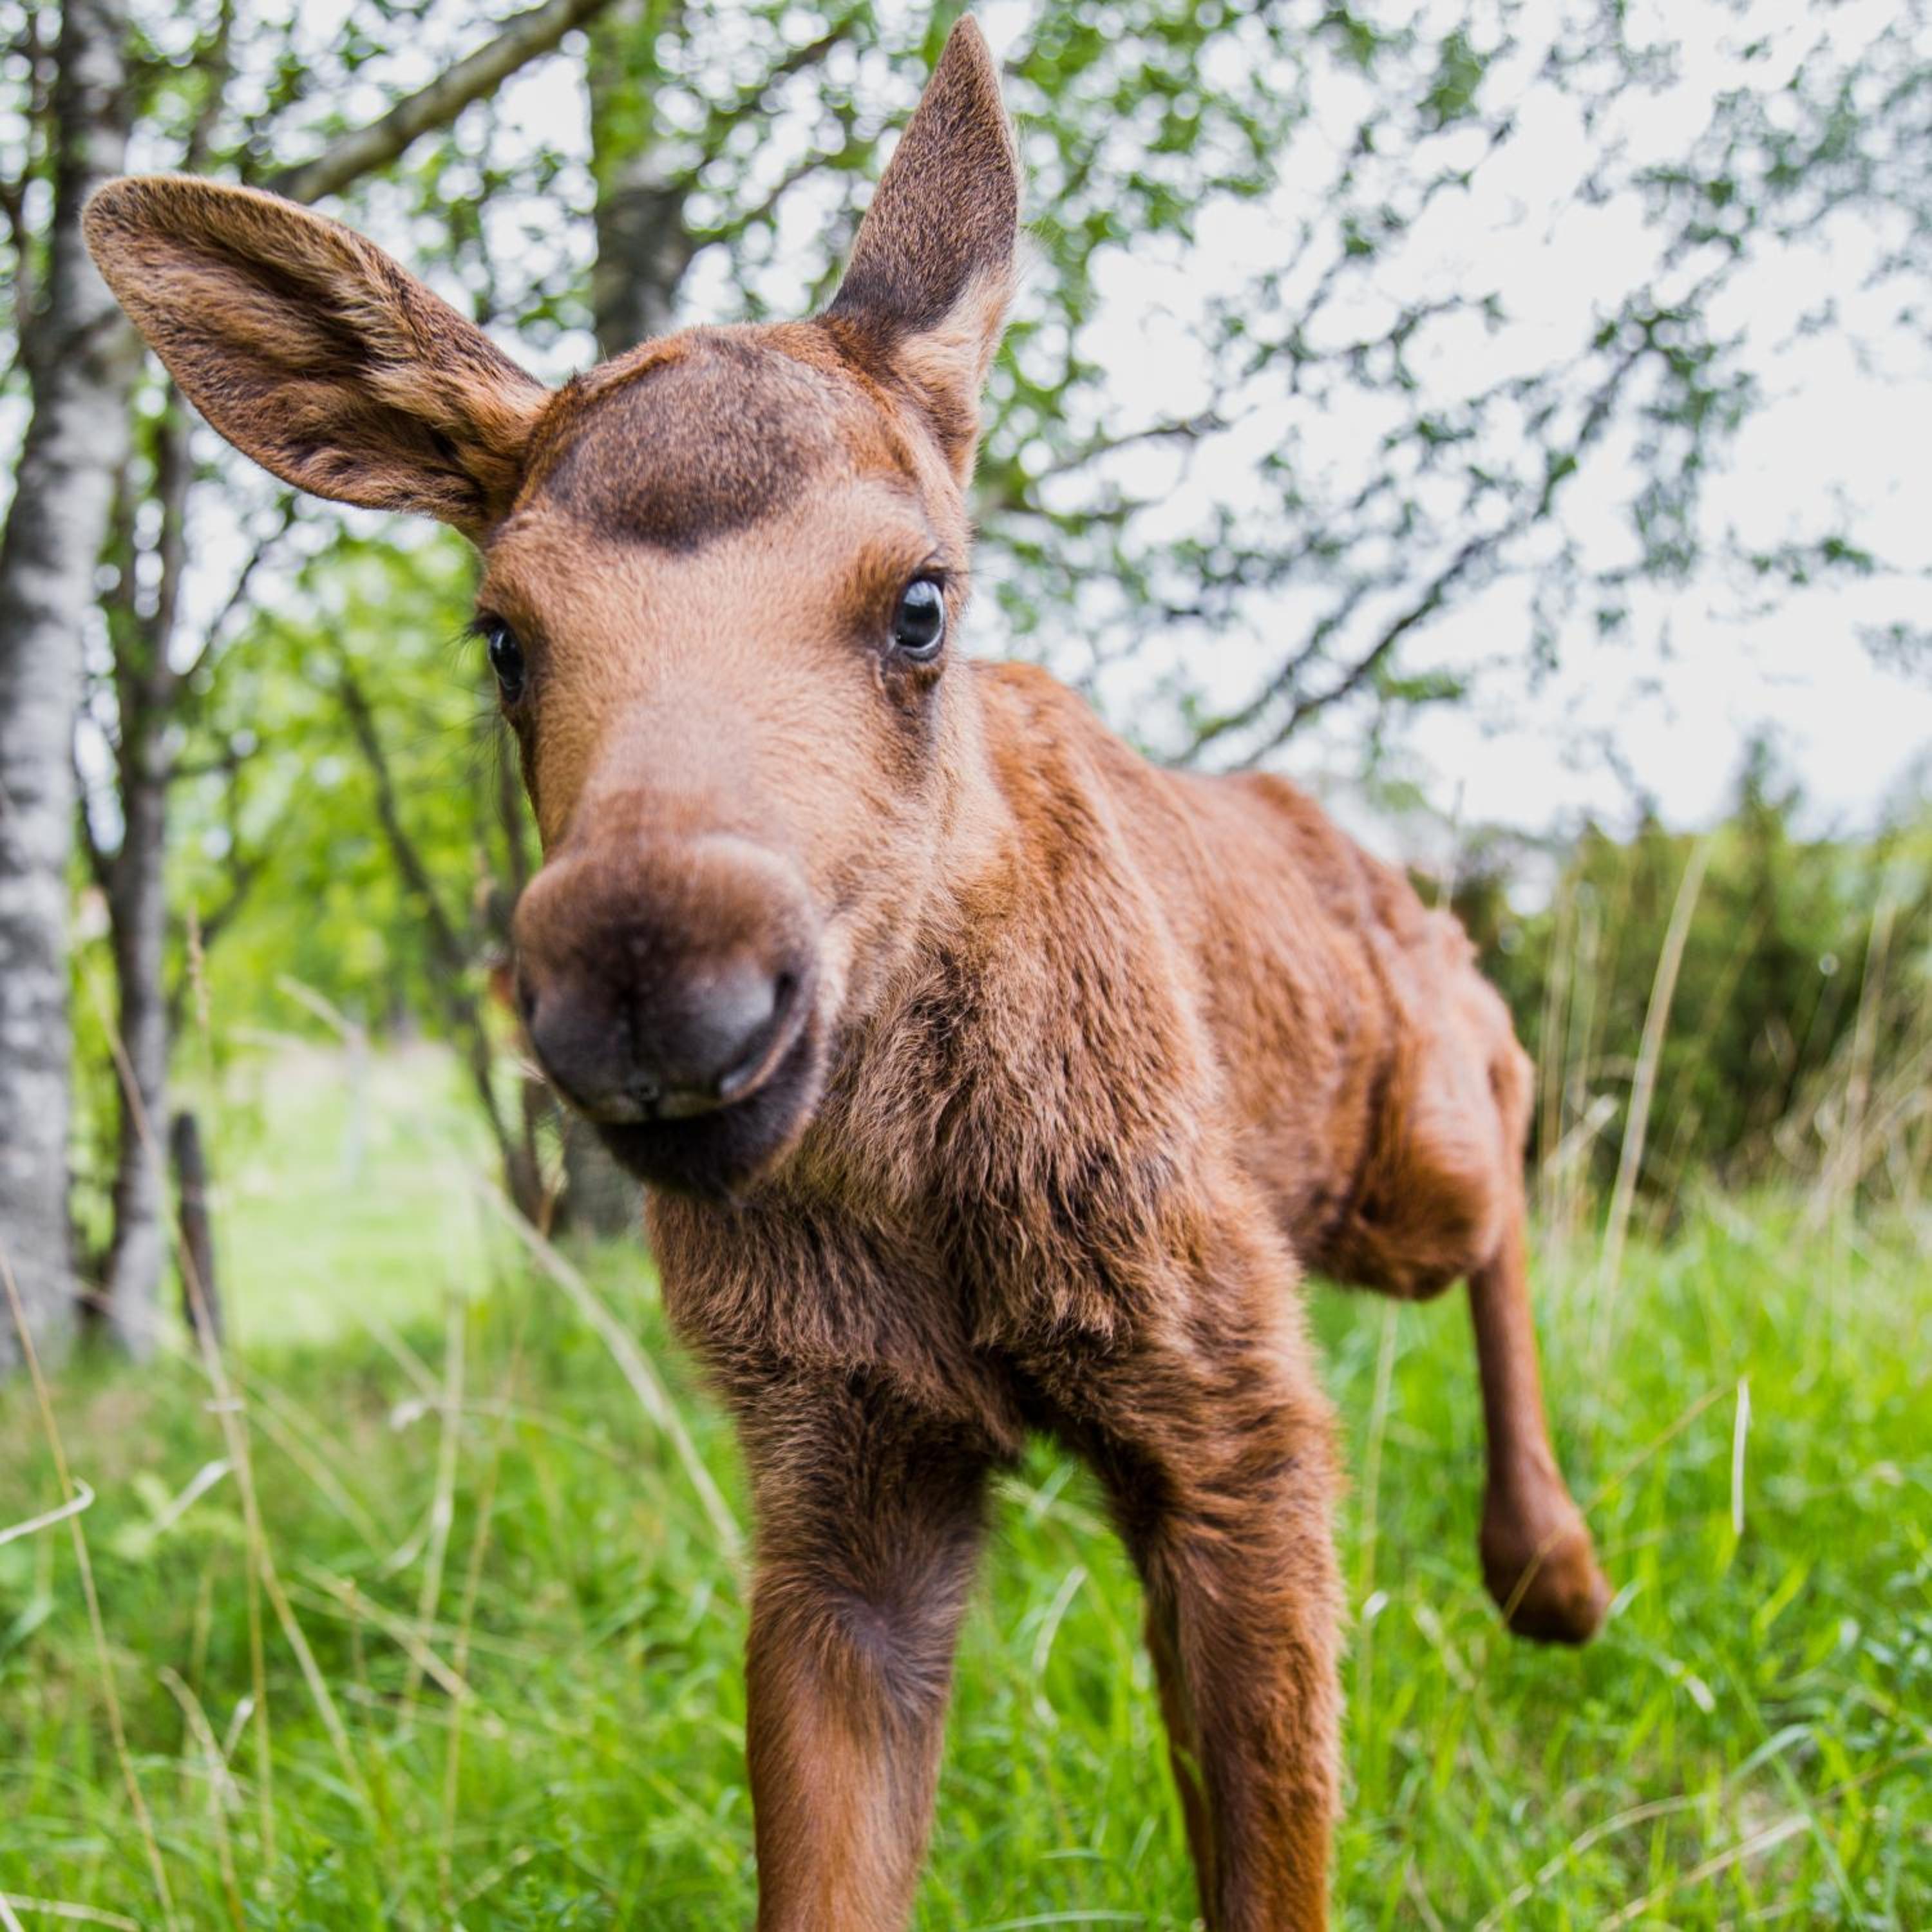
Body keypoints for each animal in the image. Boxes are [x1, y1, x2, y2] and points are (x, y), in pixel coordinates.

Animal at [84, 19, 1611, 1928]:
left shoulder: (1237, 1409)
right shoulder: (839, 1481)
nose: (663, 989)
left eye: (920, 602)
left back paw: (1551, 1564)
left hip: (1389, 1163)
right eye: (501, 635)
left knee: (1498, 1075)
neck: (925, 1199)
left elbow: (1276, 1875)